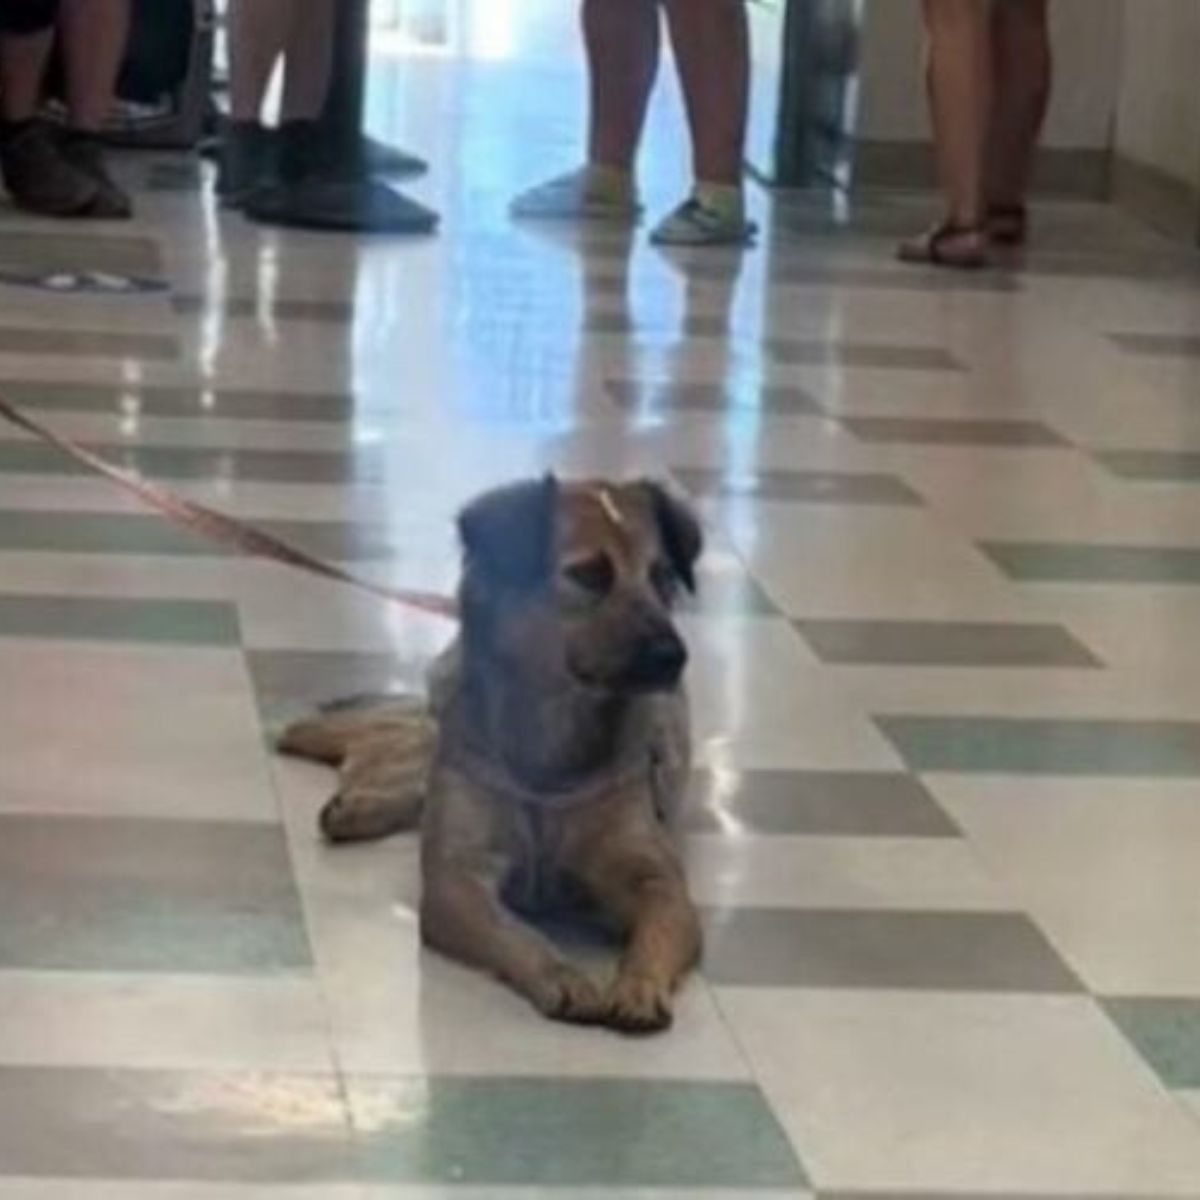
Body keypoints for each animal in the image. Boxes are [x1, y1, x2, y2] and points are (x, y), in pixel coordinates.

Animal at [279, 475, 700, 1032]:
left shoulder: (656, 877)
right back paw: (348, 787)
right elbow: (515, 933)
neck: (553, 738)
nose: (673, 657)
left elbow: (658, 927)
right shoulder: (455, 880)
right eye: (589, 573)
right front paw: (561, 974)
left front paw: (640, 984)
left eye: (662, 577)